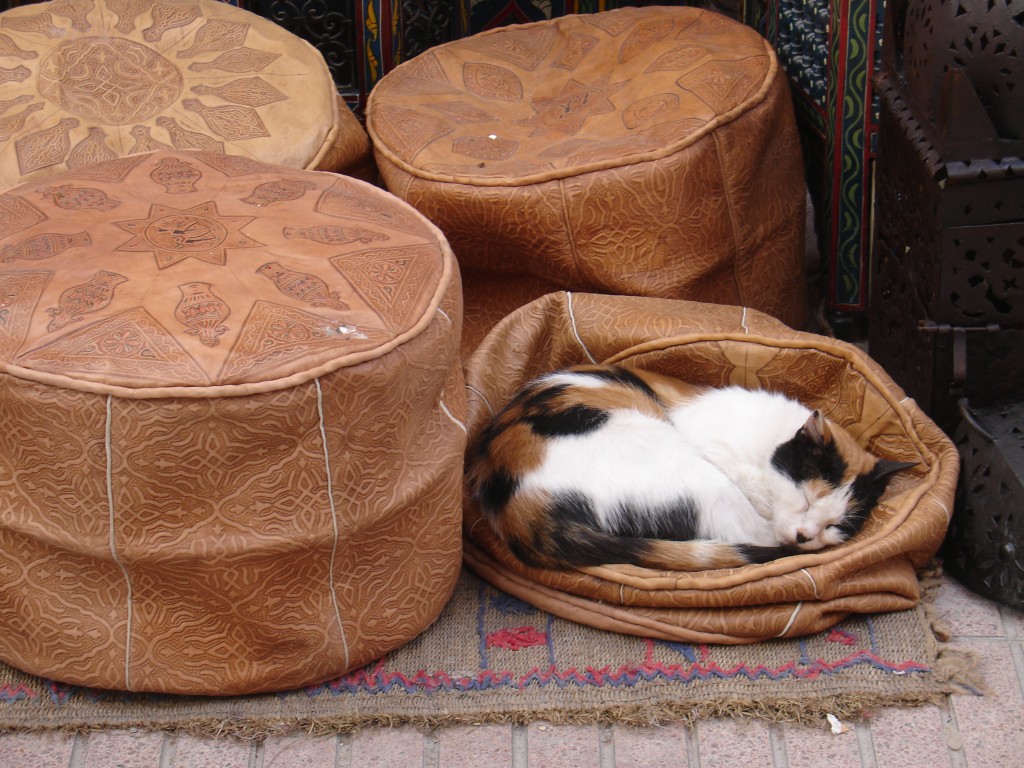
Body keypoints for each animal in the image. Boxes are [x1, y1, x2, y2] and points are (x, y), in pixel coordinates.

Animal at [468, 364, 917, 573]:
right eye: (806, 498)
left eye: (835, 525)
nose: (807, 535)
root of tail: (523, 514)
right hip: (694, 472)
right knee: (755, 537)